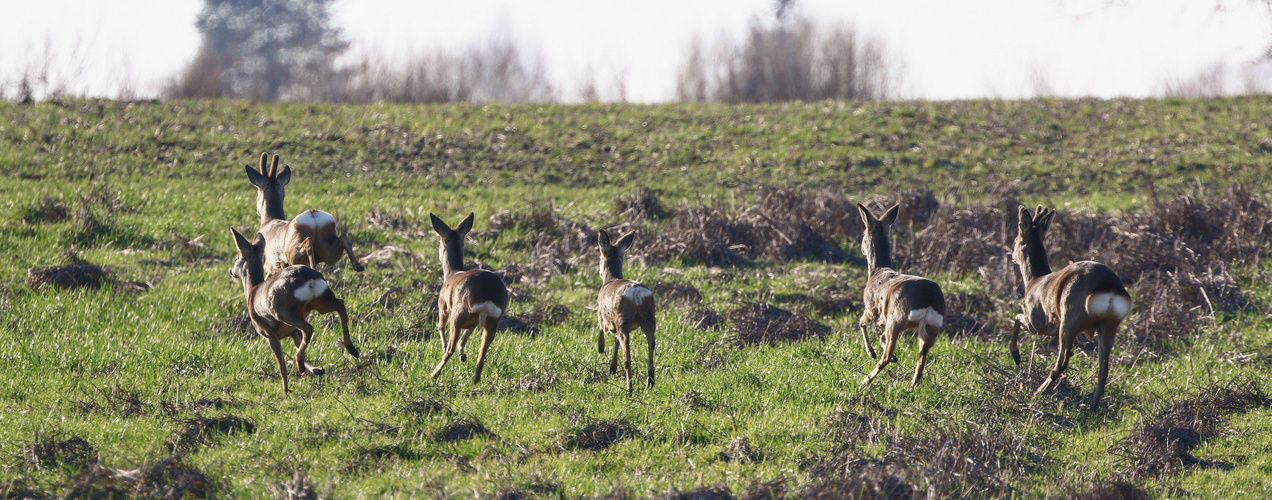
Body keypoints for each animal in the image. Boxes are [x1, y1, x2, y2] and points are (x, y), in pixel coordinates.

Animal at [226, 226, 358, 394]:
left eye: (237, 257)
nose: (231, 271)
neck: (251, 292)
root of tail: (309, 280)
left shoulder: (269, 333)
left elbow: (281, 365)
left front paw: (285, 392)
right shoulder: (292, 332)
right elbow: (301, 348)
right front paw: (316, 369)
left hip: (284, 311)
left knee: (308, 328)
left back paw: (299, 364)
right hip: (320, 301)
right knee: (340, 306)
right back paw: (351, 348)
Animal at [427, 211, 506, 381]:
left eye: (440, 243)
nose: (439, 255)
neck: (452, 273)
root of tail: (488, 295)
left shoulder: (443, 307)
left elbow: (440, 327)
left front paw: (445, 347)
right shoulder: (473, 322)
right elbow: (465, 336)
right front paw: (462, 355)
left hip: (459, 312)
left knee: (450, 348)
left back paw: (434, 373)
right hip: (494, 319)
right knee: (483, 352)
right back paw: (475, 378)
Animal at [595, 229, 656, 394]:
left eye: (600, 257)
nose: (599, 273)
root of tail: (636, 295)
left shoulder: (602, 314)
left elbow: (602, 330)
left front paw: (601, 349)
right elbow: (615, 340)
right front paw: (612, 368)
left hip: (622, 319)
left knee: (627, 355)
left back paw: (629, 389)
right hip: (649, 317)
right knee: (651, 344)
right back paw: (650, 381)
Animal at [854, 202, 946, 386]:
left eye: (863, 233)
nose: (861, 248)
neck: (876, 271)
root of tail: (930, 300)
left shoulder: (871, 308)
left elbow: (861, 322)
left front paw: (871, 352)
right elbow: (880, 337)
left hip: (896, 318)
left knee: (887, 356)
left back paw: (865, 380)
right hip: (932, 327)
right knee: (921, 358)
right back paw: (912, 384)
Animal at [1012, 204, 1134, 407]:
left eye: (1015, 239)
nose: (1011, 255)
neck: (1033, 282)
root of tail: (1109, 288)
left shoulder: (1037, 321)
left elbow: (1016, 318)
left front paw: (1016, 356)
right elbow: (1057, 345)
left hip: (1070, 316)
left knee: (1061, 363)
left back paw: (1038, 392)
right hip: (1109, 324)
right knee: (1104, 369)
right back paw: (1092, 407)